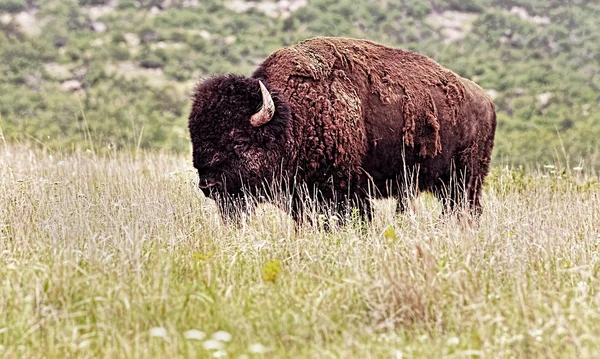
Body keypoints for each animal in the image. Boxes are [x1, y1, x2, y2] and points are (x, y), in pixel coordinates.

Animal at [189, 35, 496, 222]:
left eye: (239, 140)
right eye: (196, 140)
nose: (209, 185)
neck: (293, 117)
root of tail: (486, 100)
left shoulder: (344, 189)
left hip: (467, 177)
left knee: (468, 207)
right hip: (445, 183)